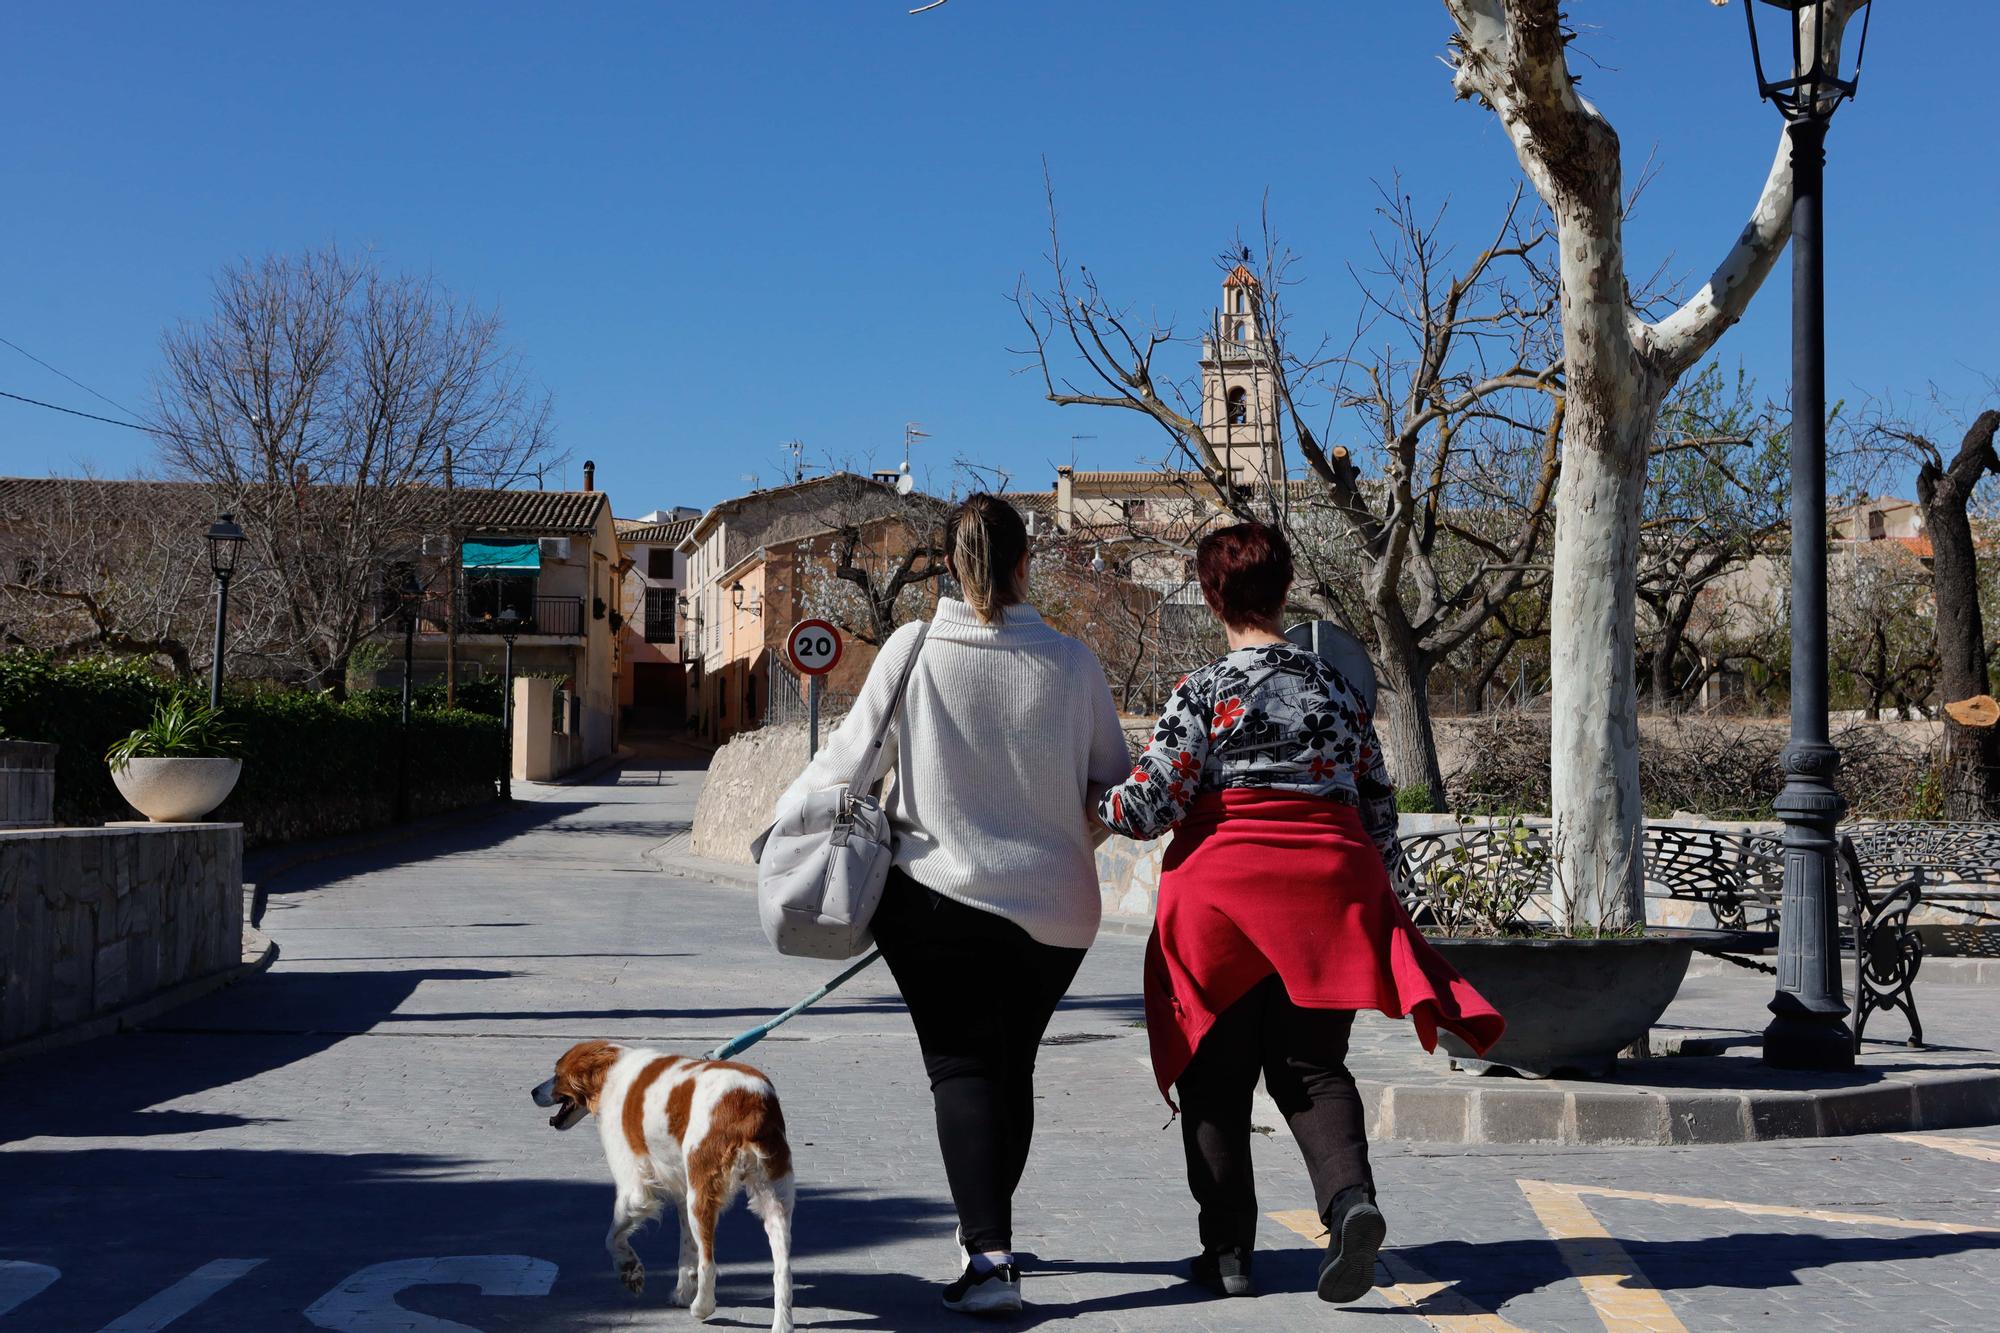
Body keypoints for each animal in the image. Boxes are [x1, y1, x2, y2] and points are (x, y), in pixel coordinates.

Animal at [532, 1040, 796, 1320]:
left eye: (557, 1074)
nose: (533, 1092)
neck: (609, 1071)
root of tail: (750, 1099)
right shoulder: (682, 1190)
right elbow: (686, 1251)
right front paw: (681, 1292)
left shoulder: (634, 1188)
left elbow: (612, 1237)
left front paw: (630, 1270)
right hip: (773, 1198)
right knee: (782, 1272)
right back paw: (781, 1324)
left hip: (702, 1195)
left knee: (709, 1263)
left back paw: (701, 1308)